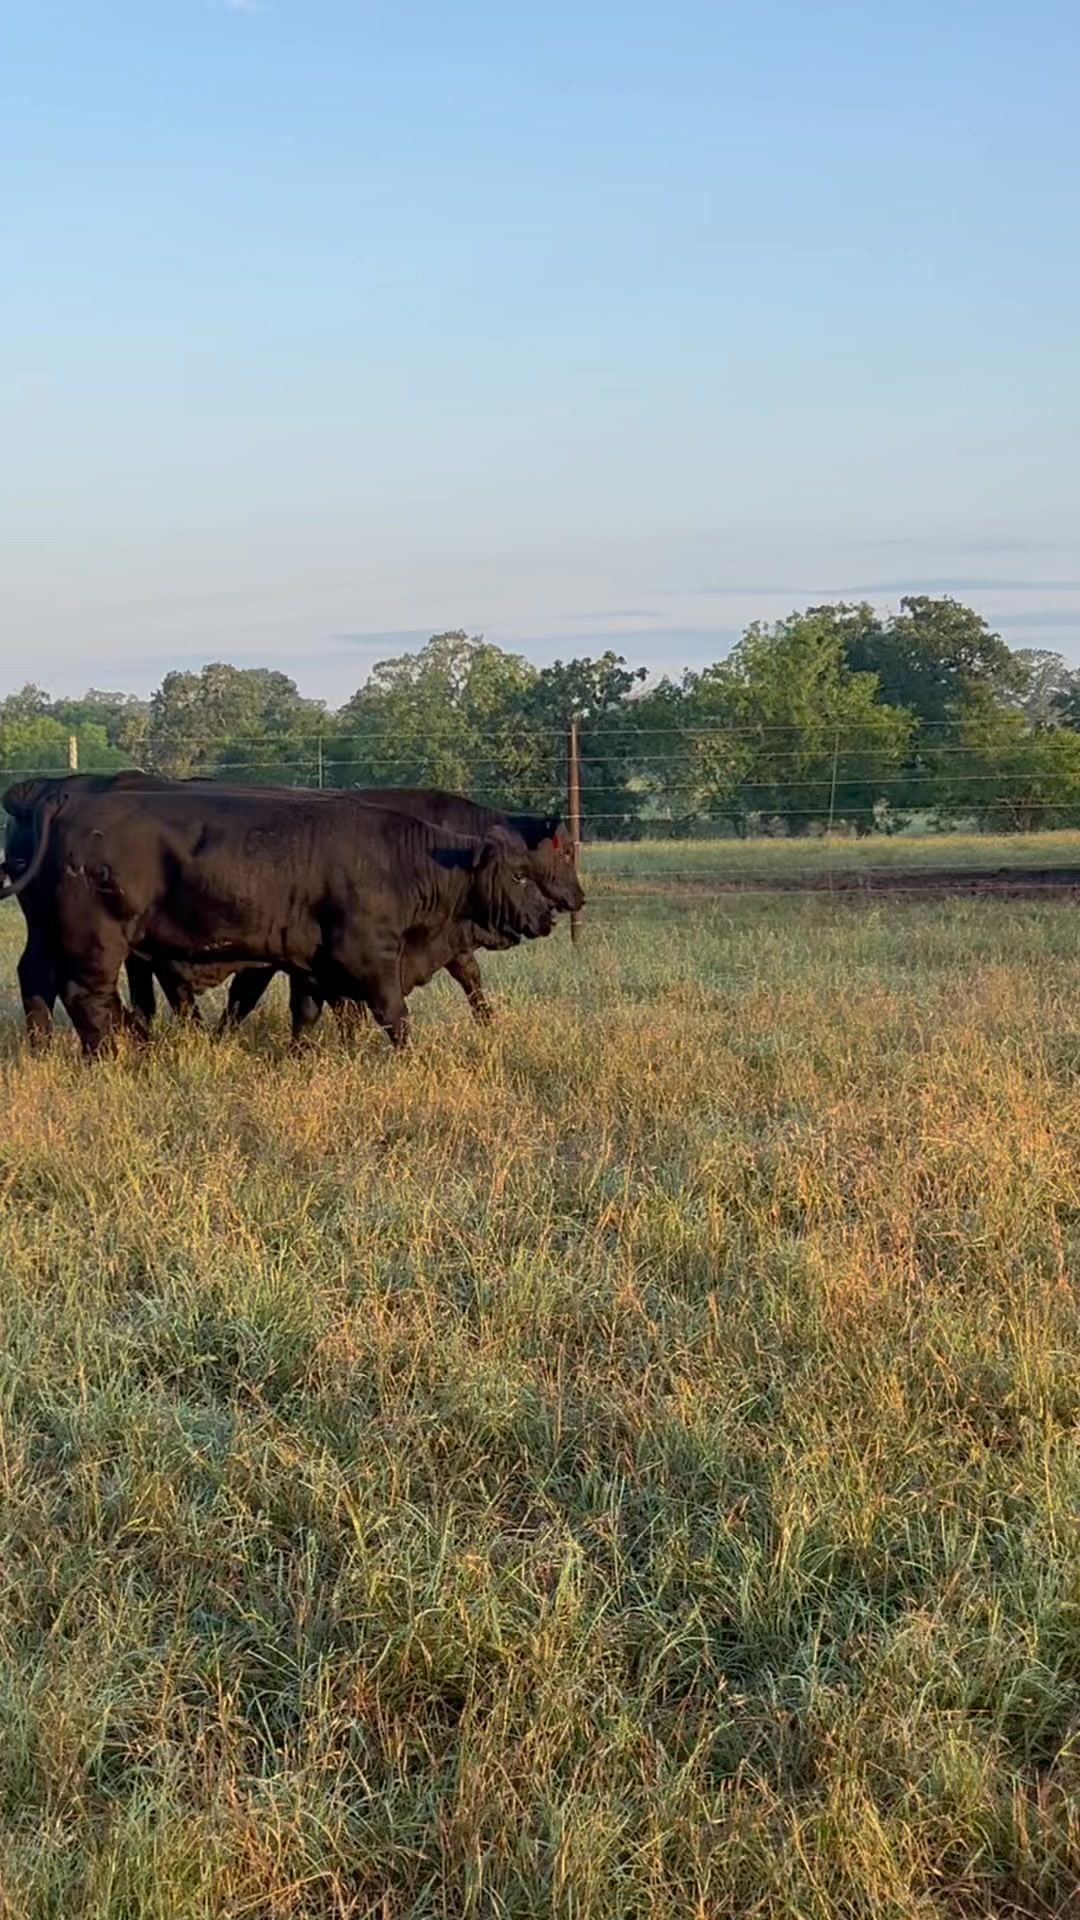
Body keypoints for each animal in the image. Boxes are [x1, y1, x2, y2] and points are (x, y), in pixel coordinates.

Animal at [7, 782, 555, 1055]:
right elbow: (393, 1016)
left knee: (45, 984)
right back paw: (114, 1055)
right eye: (520, 875)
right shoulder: (372, 957)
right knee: (89, 998)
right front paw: (412, 1061)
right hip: (97, 940)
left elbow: (307, 1015)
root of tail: (67, 797)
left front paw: (301, 1058)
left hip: (53, 934)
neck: (402, 861)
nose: (548, 915)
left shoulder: (312, 964)